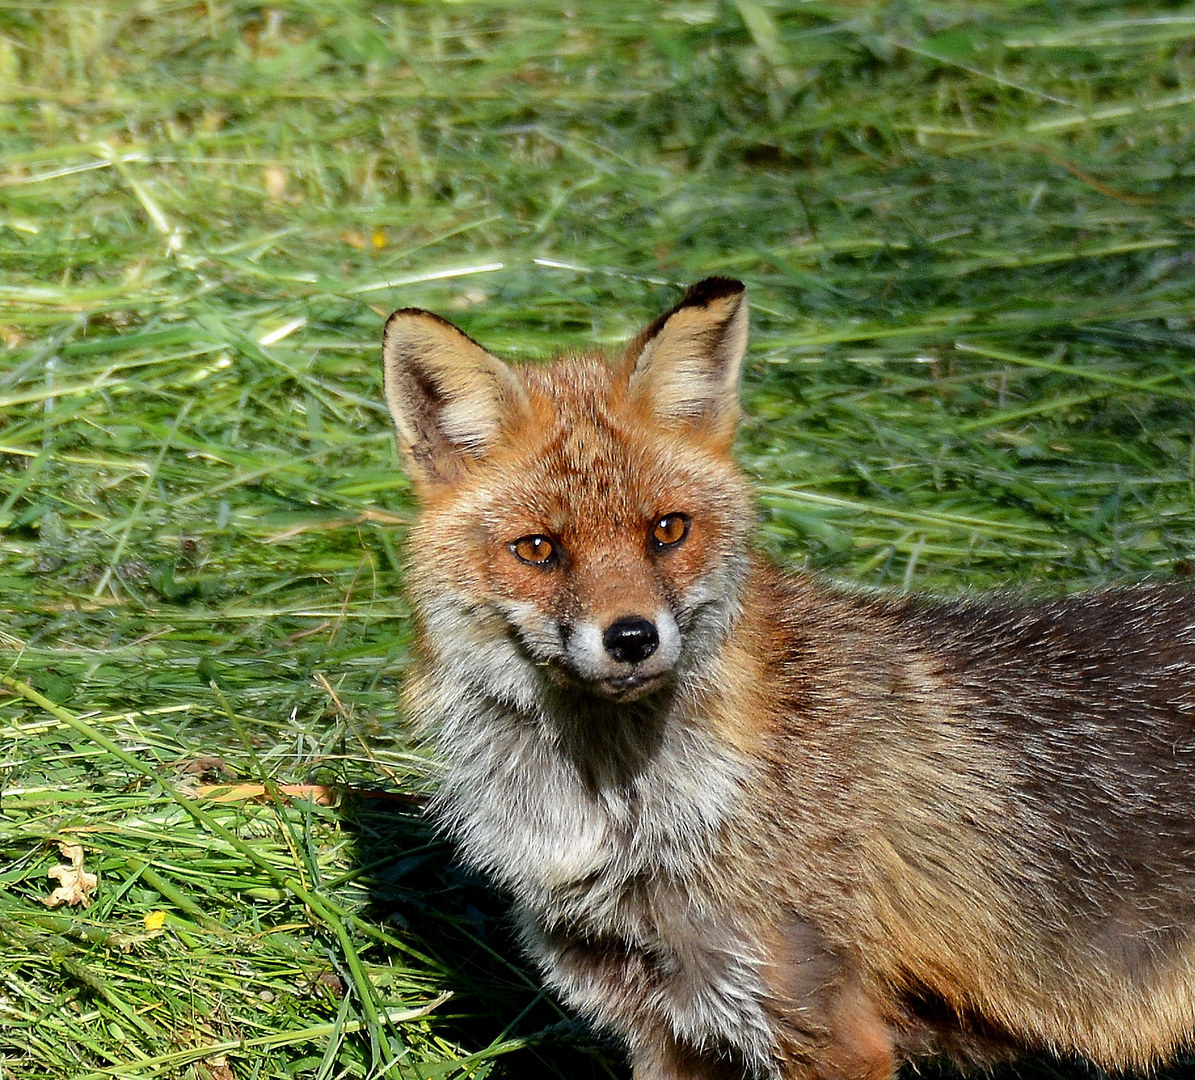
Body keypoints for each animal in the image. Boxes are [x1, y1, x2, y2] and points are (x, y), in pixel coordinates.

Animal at [377, 278, 1195, 1080]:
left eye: (667, 530)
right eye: (538, 549)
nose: (633, 638)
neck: (625, 816)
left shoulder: (820, 1022)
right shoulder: (666, 1027)